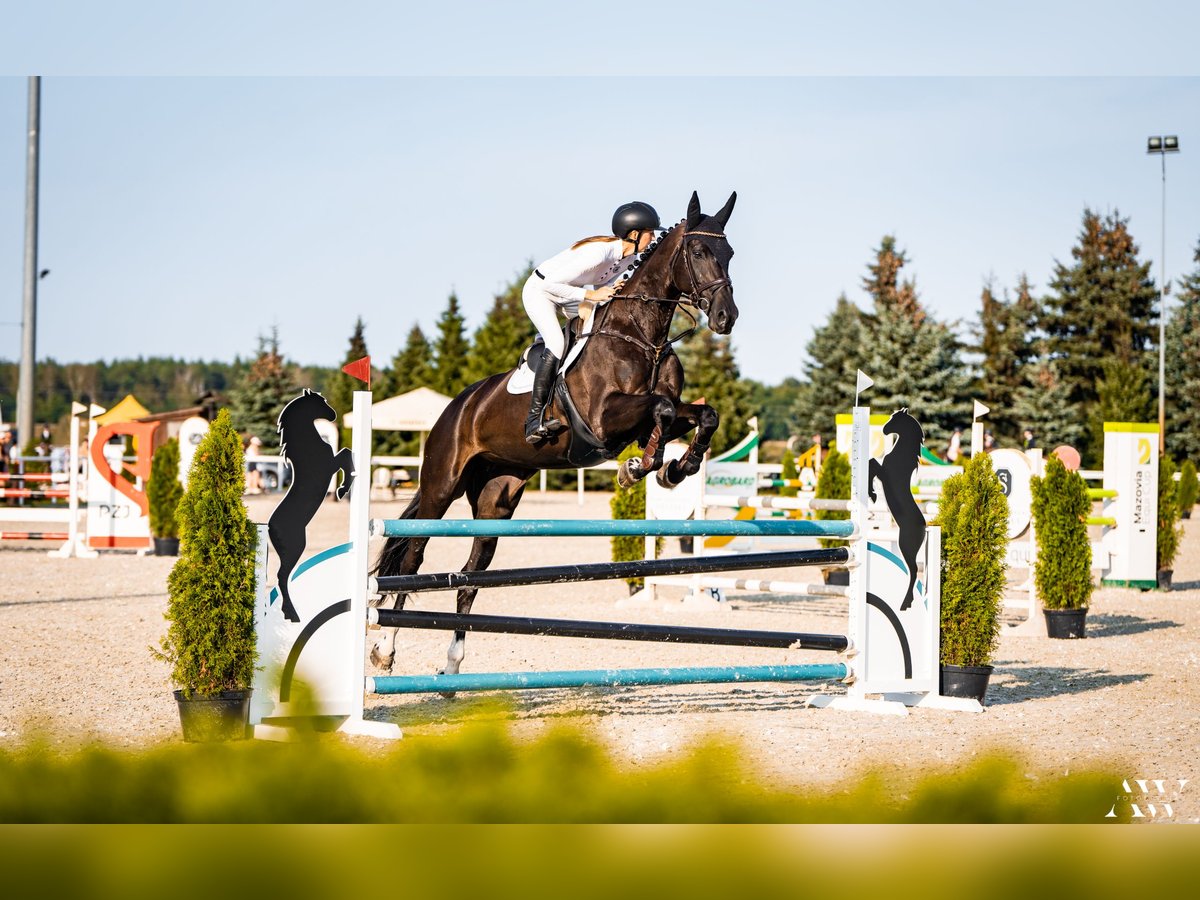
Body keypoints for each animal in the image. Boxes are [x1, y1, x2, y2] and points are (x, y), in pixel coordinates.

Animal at [267, 391, 350, 624]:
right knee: (282, 577)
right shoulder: (330, 465)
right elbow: (346, 454)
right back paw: (292, 614)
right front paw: (342, 490)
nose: (333, 415)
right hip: (296, 547)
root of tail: (269, 527)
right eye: (322, 402)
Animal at [369, 194, 734, 681]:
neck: (642, 336)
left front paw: (675, 468)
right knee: (412, 560)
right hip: (440, 488)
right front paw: (640, 468)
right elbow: (662, 407)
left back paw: (453, 663)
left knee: (469, 578)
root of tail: (457, 406)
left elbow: (697, 414)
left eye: (729, 254)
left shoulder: (649, 416)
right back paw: (385, 650)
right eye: (698, 252)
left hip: (496, 500)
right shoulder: (603, 420)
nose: (726, 318)